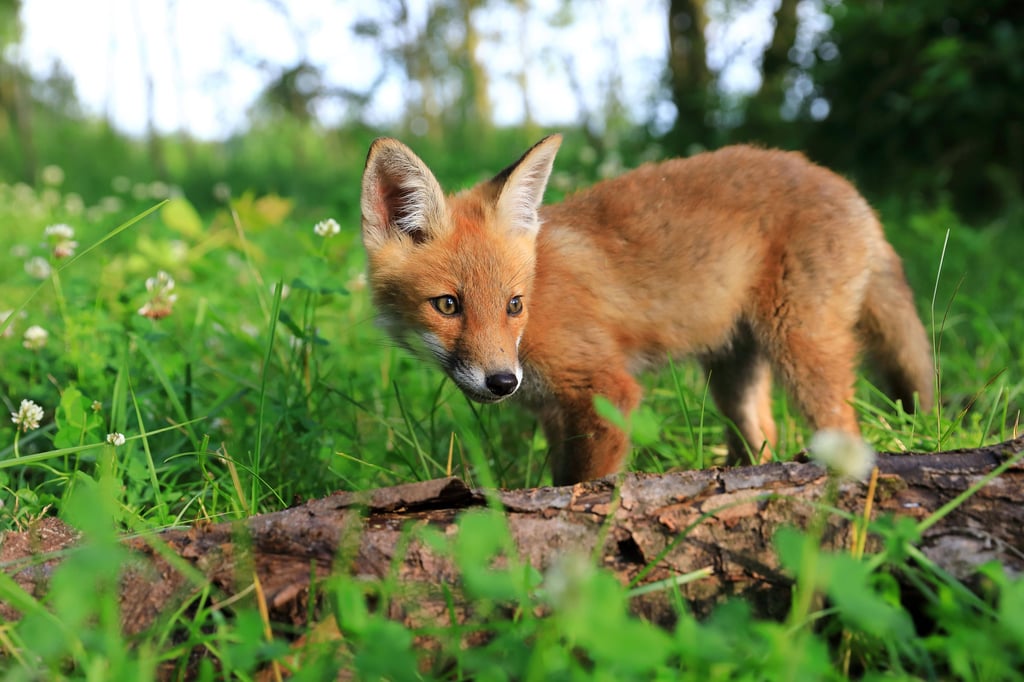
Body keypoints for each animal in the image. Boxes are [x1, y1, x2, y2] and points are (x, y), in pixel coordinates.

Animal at [360, 134, 937, 483]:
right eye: (448, 305)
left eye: (513, 304)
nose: (503, 382)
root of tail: (847, 187)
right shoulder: (554, 411)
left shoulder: (606, 391)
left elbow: (586, 484)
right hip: (734, 372)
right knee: (762, 435)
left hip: (801, 348)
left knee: (846, 428)